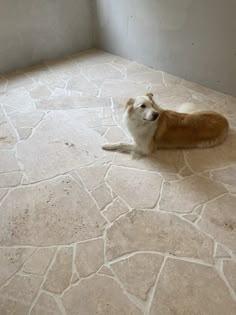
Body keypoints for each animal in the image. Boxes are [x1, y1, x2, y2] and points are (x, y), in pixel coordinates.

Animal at [102, 93, 230, 158]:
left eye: (152, 105)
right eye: (143, 106)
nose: (156, 114)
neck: (143, 122)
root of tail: (226, 121)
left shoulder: (145, 148)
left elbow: (121, 143)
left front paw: (107, 145)